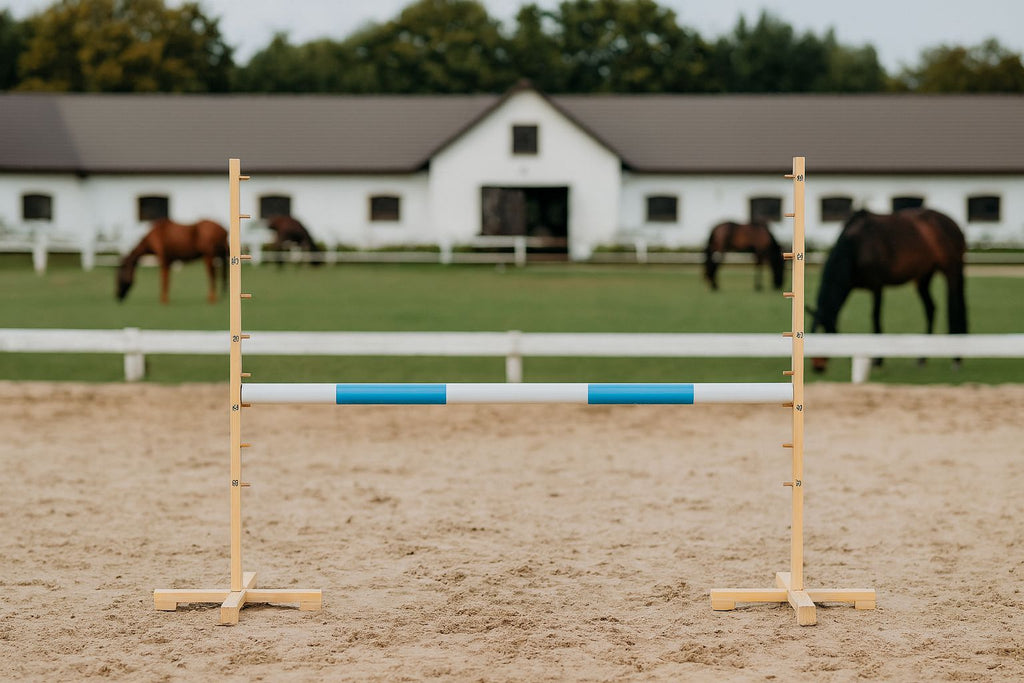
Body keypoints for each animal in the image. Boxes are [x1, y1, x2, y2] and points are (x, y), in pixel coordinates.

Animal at [808, 208, 968, 372]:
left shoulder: (877, 287)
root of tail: (953, 223)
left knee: (955, 308)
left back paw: (956, 359)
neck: (857, 246)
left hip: (952, 271)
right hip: (923, 277)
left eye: (823, 337)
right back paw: (922, 358)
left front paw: (878, 361)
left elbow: (875, 317)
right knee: (931, 309)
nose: (817, 366)